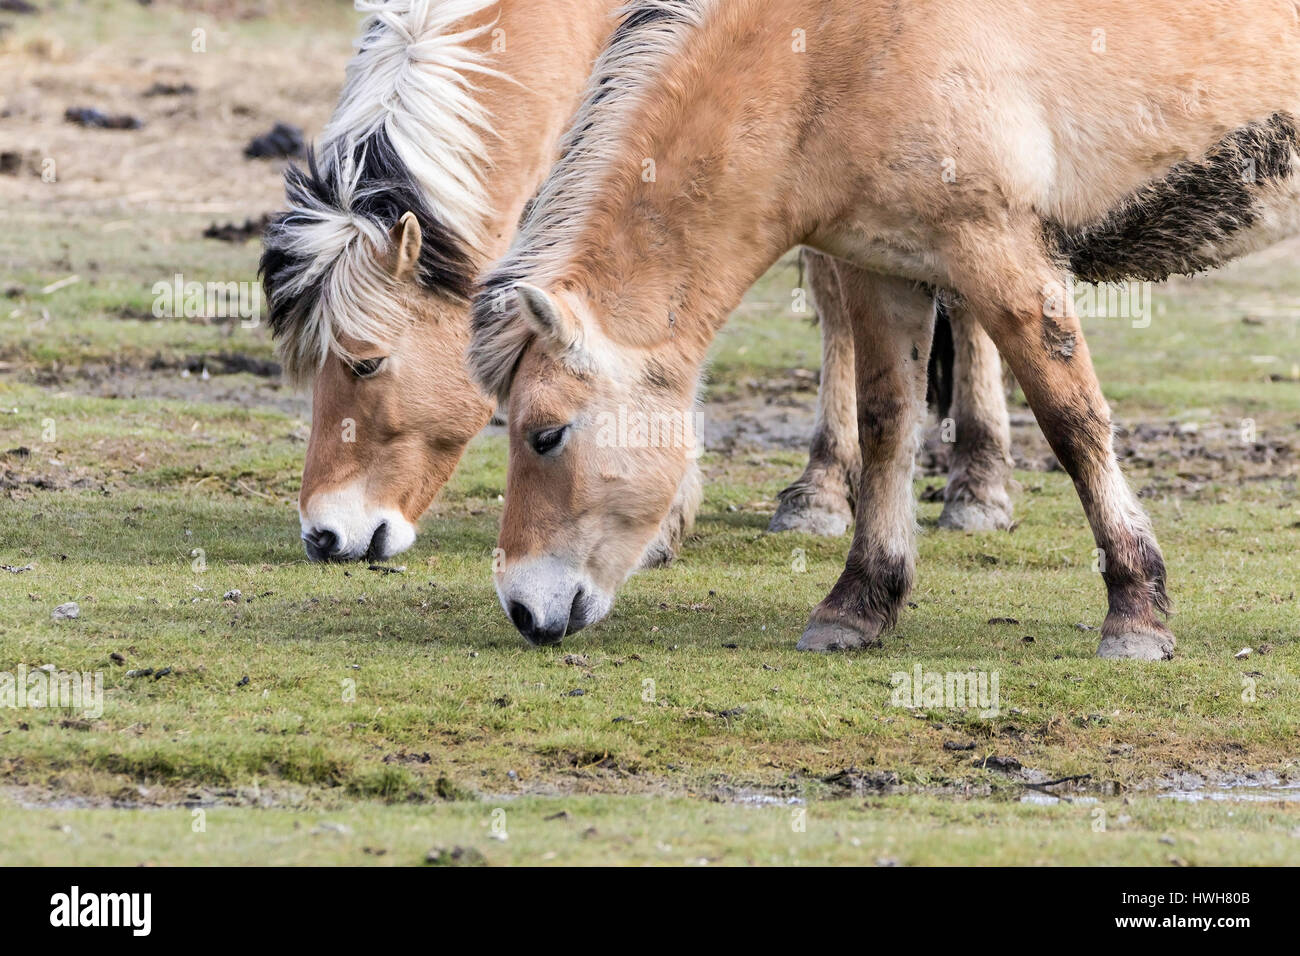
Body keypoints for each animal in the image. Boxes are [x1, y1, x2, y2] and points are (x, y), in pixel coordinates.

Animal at [470, 0, 1300, 658]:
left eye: (545, 434)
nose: (522, 607)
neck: (829, 46)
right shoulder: (882, 269)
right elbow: (886, 425)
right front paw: (859, 604)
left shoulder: (1000, 254)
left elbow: (1073, 423)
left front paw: (1135, 614)